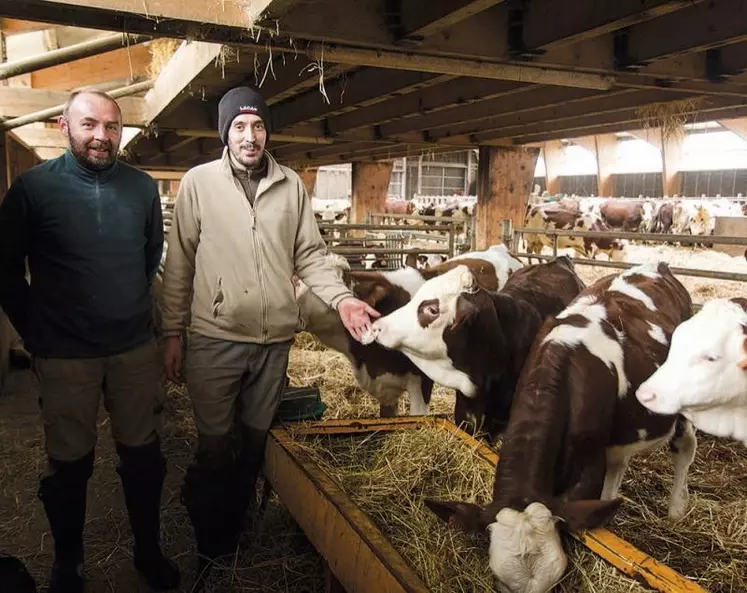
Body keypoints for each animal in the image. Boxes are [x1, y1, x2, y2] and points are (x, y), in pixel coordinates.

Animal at [420, 262, 696, 592]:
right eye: (500, 582)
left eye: (556, 583)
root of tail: (657, 266)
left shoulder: (588, 464)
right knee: (619, 461)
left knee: (685, 447)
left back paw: (676, 509)